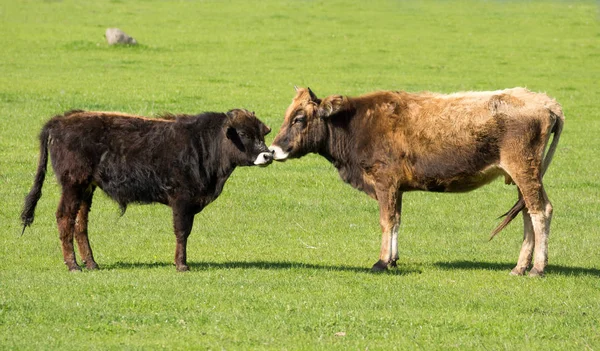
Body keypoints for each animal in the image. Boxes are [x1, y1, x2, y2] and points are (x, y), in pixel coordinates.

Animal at [21, 109, 274, 272]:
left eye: (262, 133)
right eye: (243, 134)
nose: (268, 155)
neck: (202, 143)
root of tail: (60, 121)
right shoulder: (182, 201)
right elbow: (182, 232)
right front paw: (181, 264)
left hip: (86, 189)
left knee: (80, 224)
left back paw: (91, 263)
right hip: (73, 185)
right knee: (65, 217)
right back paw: (73, 265)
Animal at [270, 86, 564, 276]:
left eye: (299, 118)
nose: (273, 150)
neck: (356, 123)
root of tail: (547, 103)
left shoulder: (385, 183)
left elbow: (387, 221)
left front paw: (381, 262)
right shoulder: (397, 188)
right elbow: (397, 221)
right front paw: (393, 260)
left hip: (524, 170)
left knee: (540, 211)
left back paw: (537, 268)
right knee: (528, 213)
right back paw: (520, 266)